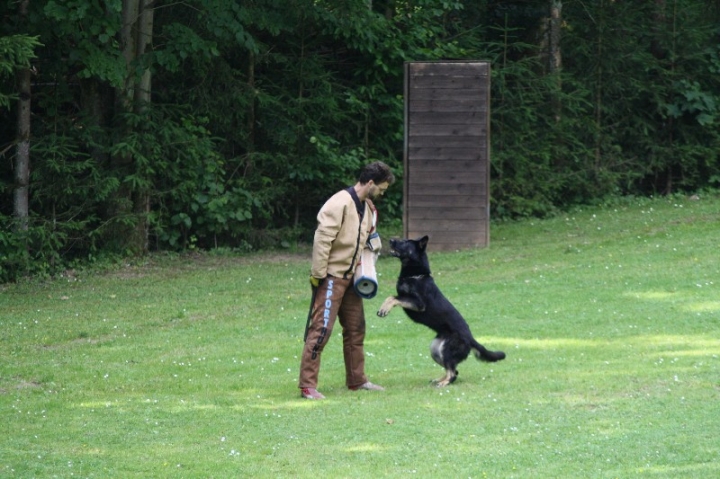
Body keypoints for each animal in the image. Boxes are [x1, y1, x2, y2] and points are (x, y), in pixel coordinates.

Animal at [376, 235, 506, 386]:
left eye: (405, 242)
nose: (390, 240)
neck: (416, 275)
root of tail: (471, 339)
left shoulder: (418, 303)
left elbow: (392, 297)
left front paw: (384, 309)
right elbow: (392, 296)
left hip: (446, 350)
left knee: (453, 372)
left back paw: (443, 383)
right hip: (435, 349)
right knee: (453, 370)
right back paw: (439, 380)